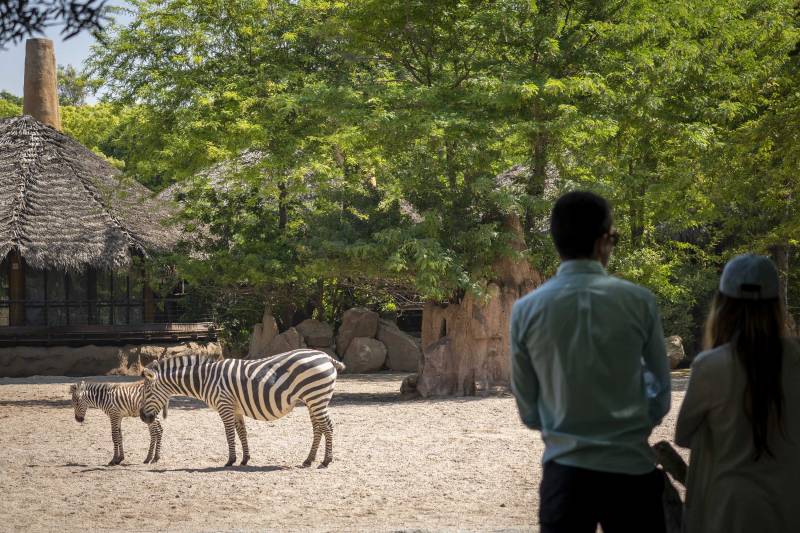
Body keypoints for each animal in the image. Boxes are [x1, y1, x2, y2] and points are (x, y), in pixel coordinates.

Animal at [138, 350, 344, 466]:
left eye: (146, 393)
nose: (143, 418)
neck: (205, 379)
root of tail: (326, 356)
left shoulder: (224, 405)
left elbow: (229, 433)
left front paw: (231, 460)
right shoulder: (235, 408)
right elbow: (241, 432)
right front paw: (245, 459)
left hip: (316, 397)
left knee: (328, 427)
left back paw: (326, 461)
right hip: (313, 400)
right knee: (318, 428)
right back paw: (309, 460)